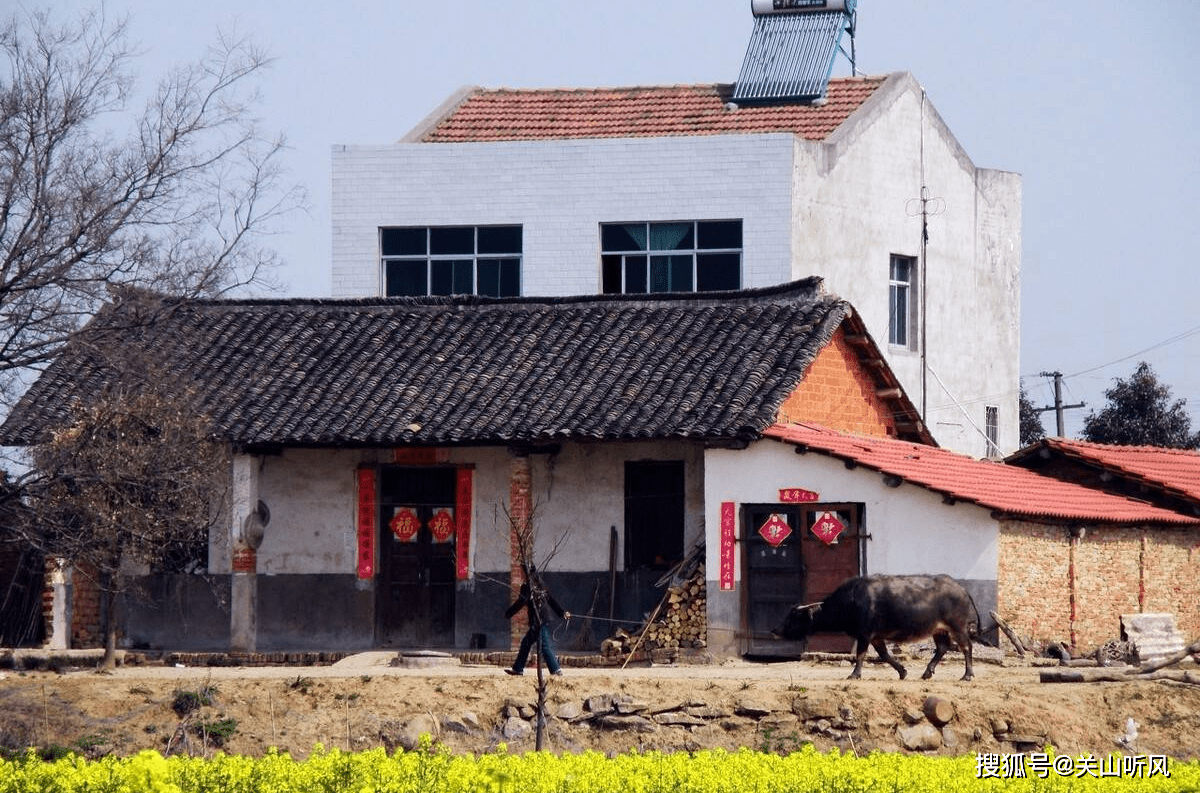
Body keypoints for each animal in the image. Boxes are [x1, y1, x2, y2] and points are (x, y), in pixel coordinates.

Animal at [772, 571, 979, 676]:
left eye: (793, 617)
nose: (775, 630)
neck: (851, 601)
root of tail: (961, 588)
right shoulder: (876, 637)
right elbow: (884, 655)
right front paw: (902, 671)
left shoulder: (864, 634)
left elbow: (860, 655)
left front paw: (854, 674)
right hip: (939, 629)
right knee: (943, 647)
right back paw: (927, 672)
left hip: (957, 626)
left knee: (966, 647)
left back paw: (967, 675)